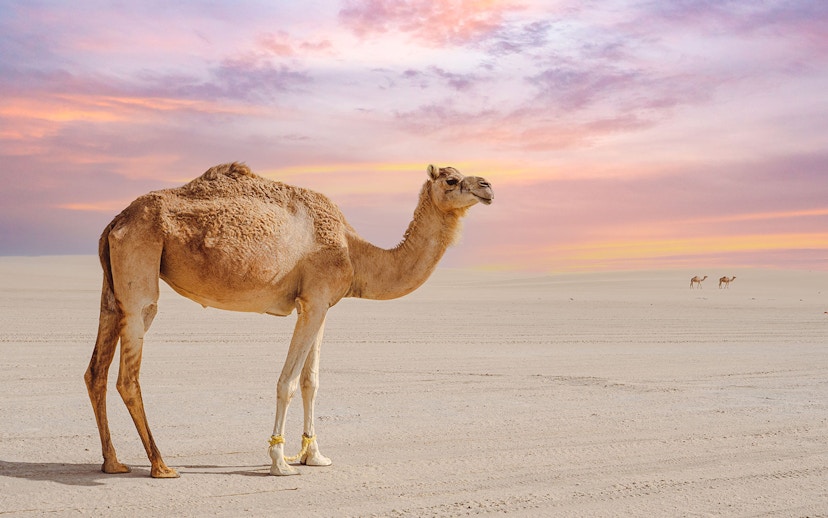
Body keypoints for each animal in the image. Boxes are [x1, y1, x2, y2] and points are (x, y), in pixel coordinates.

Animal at [84, 162, 493, 478]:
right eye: (451, 180)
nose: (487, 186)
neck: (354, 252)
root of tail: (116, 220)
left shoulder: (318, 304)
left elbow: (312, 382)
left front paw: (314, 456)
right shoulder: (314, 300)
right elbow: (289, 382)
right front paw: (279, 462)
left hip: (113, 285)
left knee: (96, 370)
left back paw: (113, 463)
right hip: (141, 262)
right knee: (129, 370)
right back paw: (161, 465)